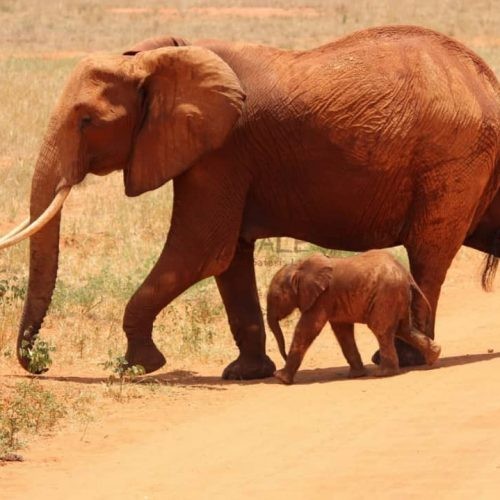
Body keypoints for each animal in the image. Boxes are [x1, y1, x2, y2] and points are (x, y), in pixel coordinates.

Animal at [268, 252, 440, 384]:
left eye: (276, 297)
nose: (283, 357)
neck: (299, 268)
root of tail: (407, 275)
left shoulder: (323, 297)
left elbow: (307, 329)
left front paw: (281, 379)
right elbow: (342, 331)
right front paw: (357, 375)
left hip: (387, 295)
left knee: (381, 330)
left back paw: (383, 373)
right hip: (398, 296)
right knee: (404, 329)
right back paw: (434, 357)